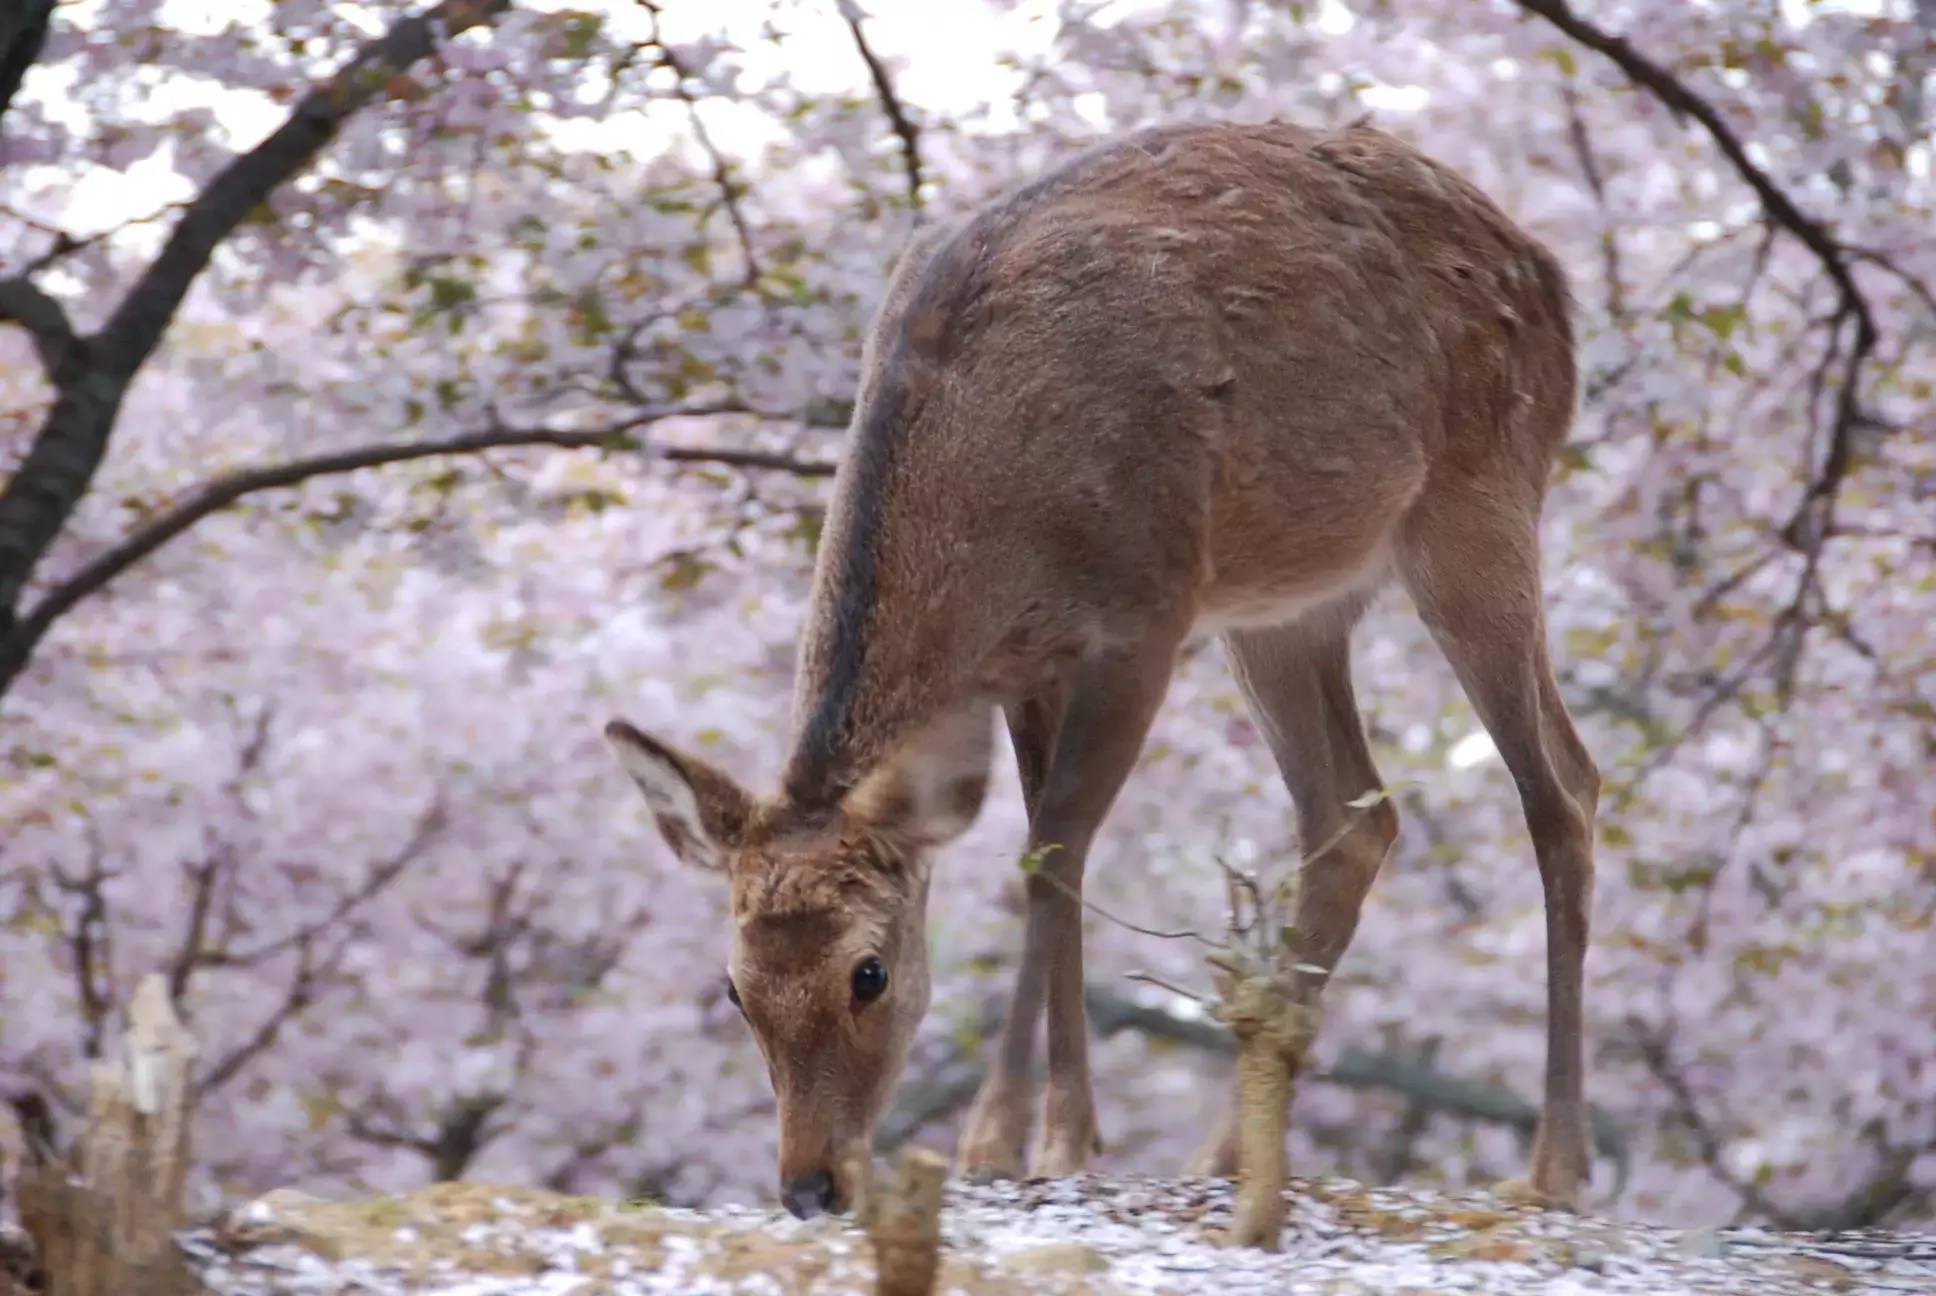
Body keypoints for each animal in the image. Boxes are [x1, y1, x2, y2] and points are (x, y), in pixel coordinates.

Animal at [607, 116, 1603, 1216]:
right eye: (734, 987)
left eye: (869, 973)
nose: (811, 1184)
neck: (1002, 521)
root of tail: (1551, 275)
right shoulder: (1028, 665)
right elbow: (1060, 855)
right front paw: (1069, 1136)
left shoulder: (1144, 613)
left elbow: (1048, 857)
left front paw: (997, 1139)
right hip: (1286, 604)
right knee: (1354, 817)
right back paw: (1226, 1155)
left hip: (1482, 498)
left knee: (1562, 786)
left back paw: (1555, 1165)